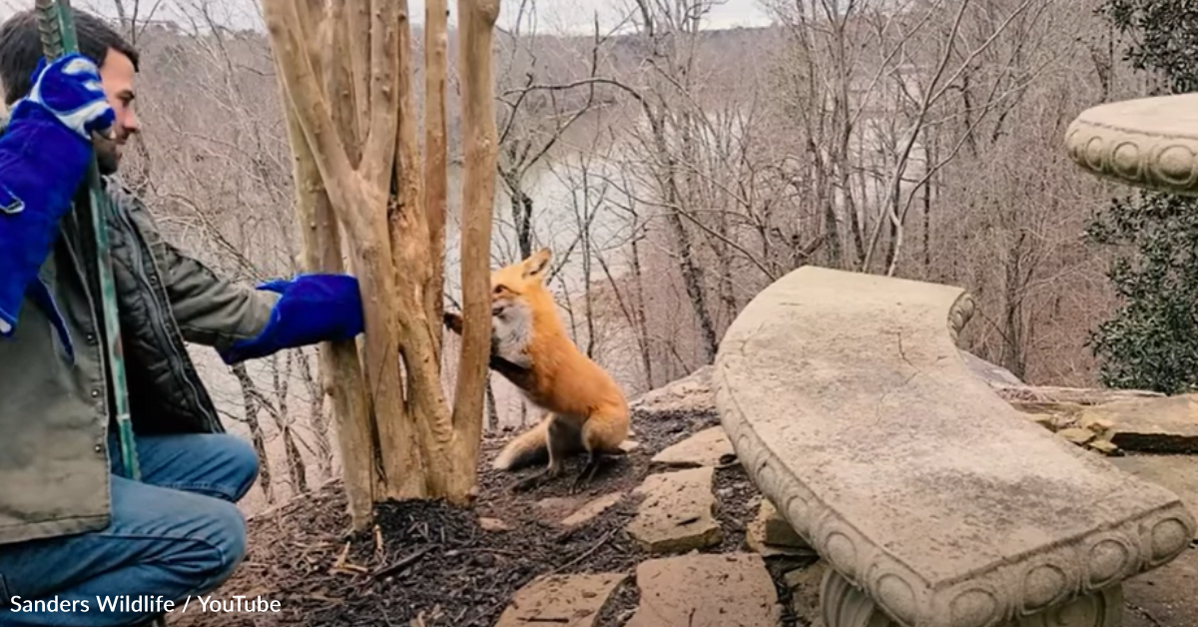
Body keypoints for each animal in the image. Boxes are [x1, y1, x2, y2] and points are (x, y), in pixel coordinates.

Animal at [445, 248, 632, 493]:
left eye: (500, 288)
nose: (470, 305)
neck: (518, 334)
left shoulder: (537, 381)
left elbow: (504, 363)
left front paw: (492, 360)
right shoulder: (501, 344)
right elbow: (489, 342)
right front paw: (453, 319)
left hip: (593, 430)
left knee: (599, 457)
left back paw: (587, 474)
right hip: (553, 430)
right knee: (556, 469)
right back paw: (532, 481)